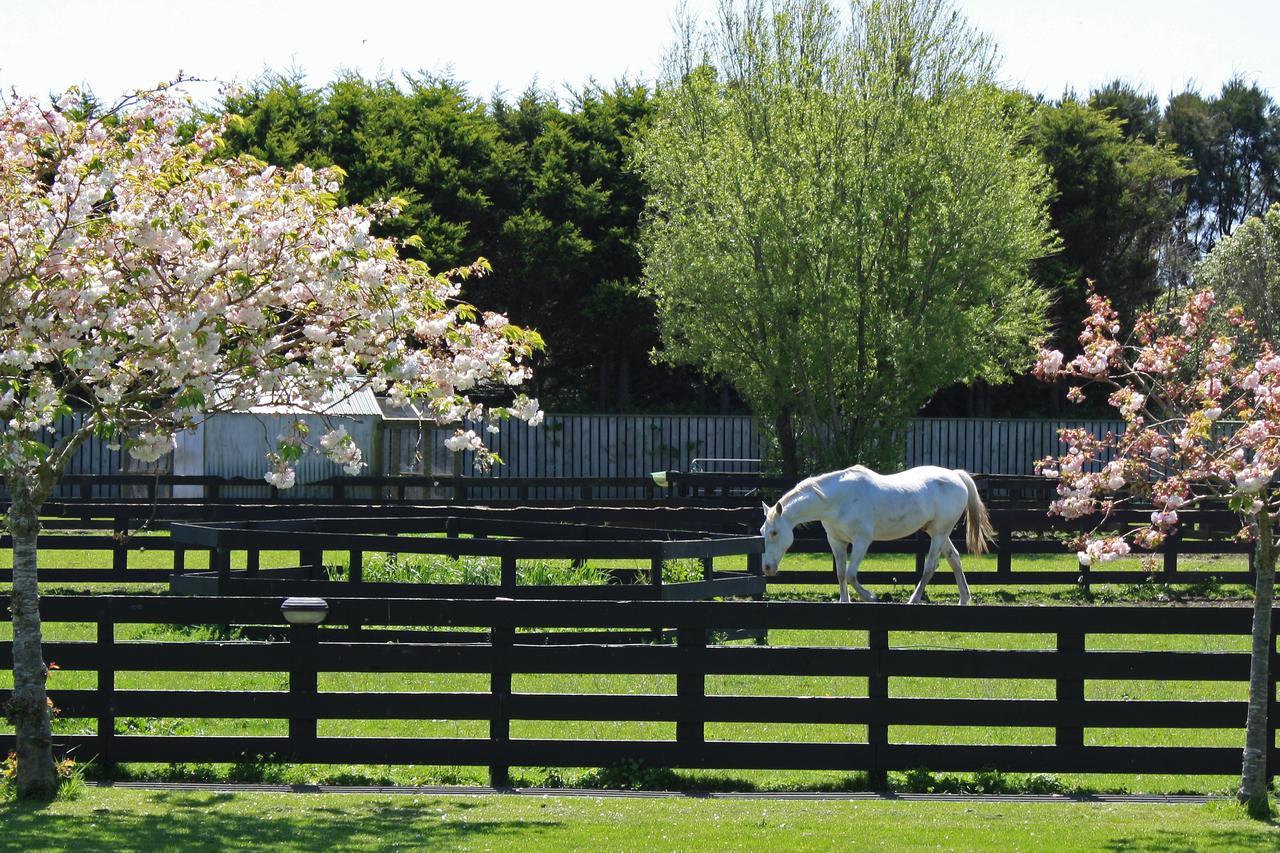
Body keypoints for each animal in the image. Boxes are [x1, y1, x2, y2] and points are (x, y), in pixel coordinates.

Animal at [757, 466, 988, 604]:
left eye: (775, 532)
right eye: (762, 532)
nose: (767, 568)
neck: (837, 499)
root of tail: (956, 475)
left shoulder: (861, 541)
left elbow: (851, 574)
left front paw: (871, 597)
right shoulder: (836, 542)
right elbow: (841, 574)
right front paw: (844, 601)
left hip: (939, 533)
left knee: (930, 566)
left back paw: (914, 600)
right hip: (937, 531)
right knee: (954, 559)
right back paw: (963, 599)